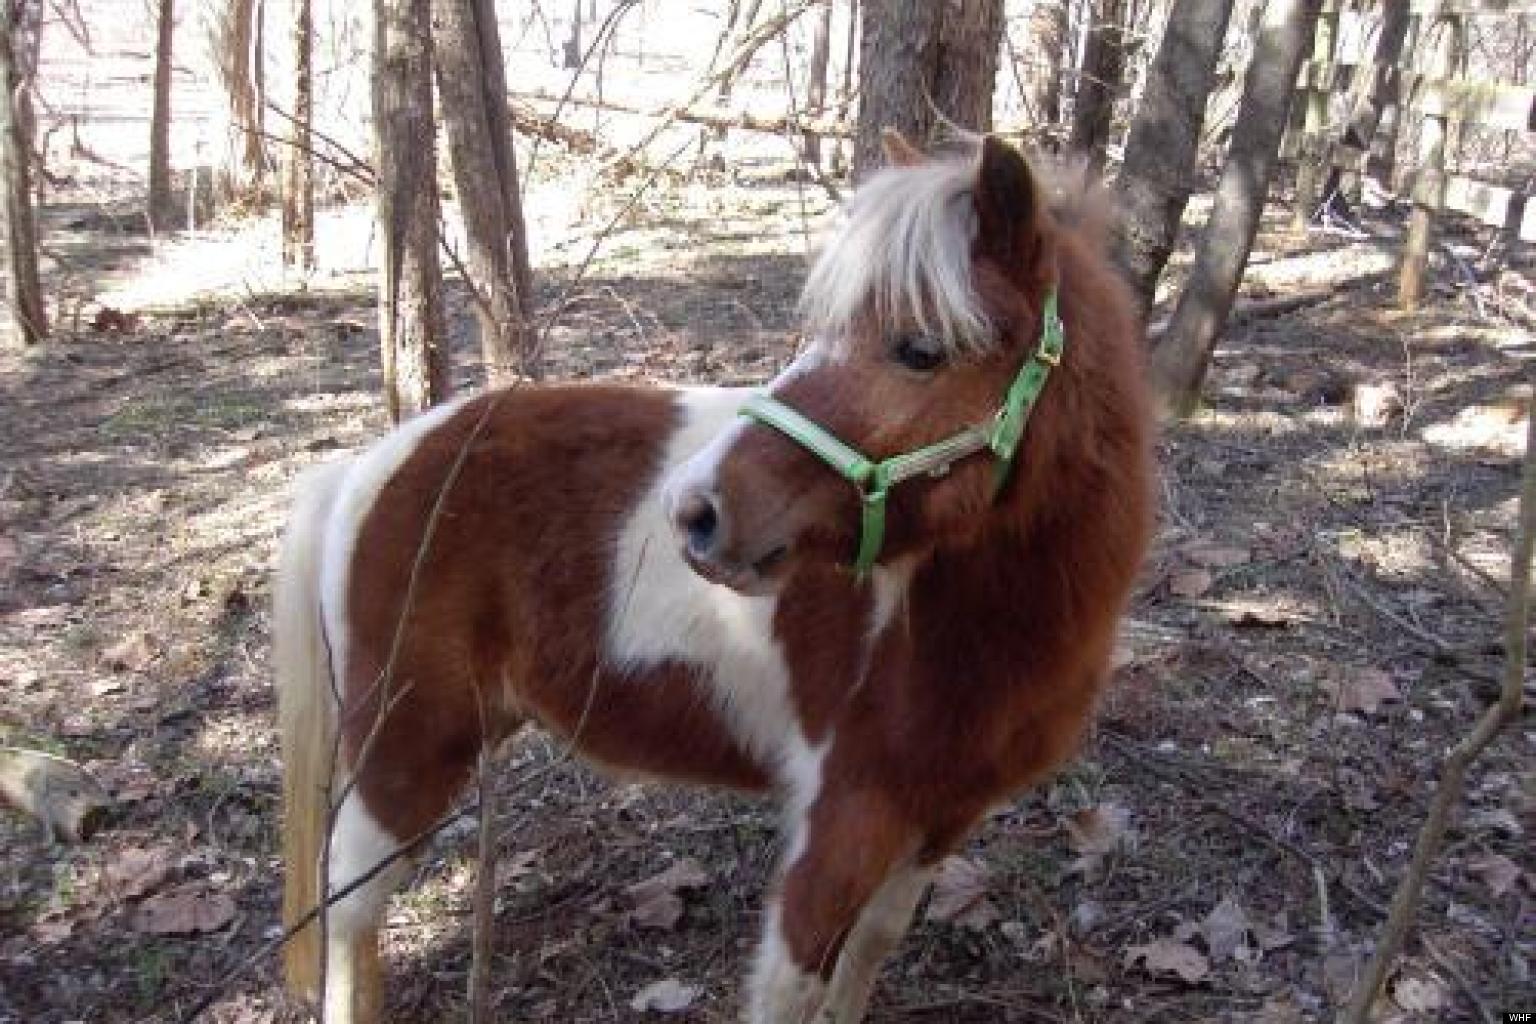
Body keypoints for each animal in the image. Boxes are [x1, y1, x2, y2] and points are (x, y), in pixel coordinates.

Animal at [274, 132, 1153, 1023]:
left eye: (919, 350)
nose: (694, 510)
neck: (958, 634)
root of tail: (370, 465)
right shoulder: (841, 827)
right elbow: (794, 988)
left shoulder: (937, 821)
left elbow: (868, 954)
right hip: (405, 753)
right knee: (349, 908)